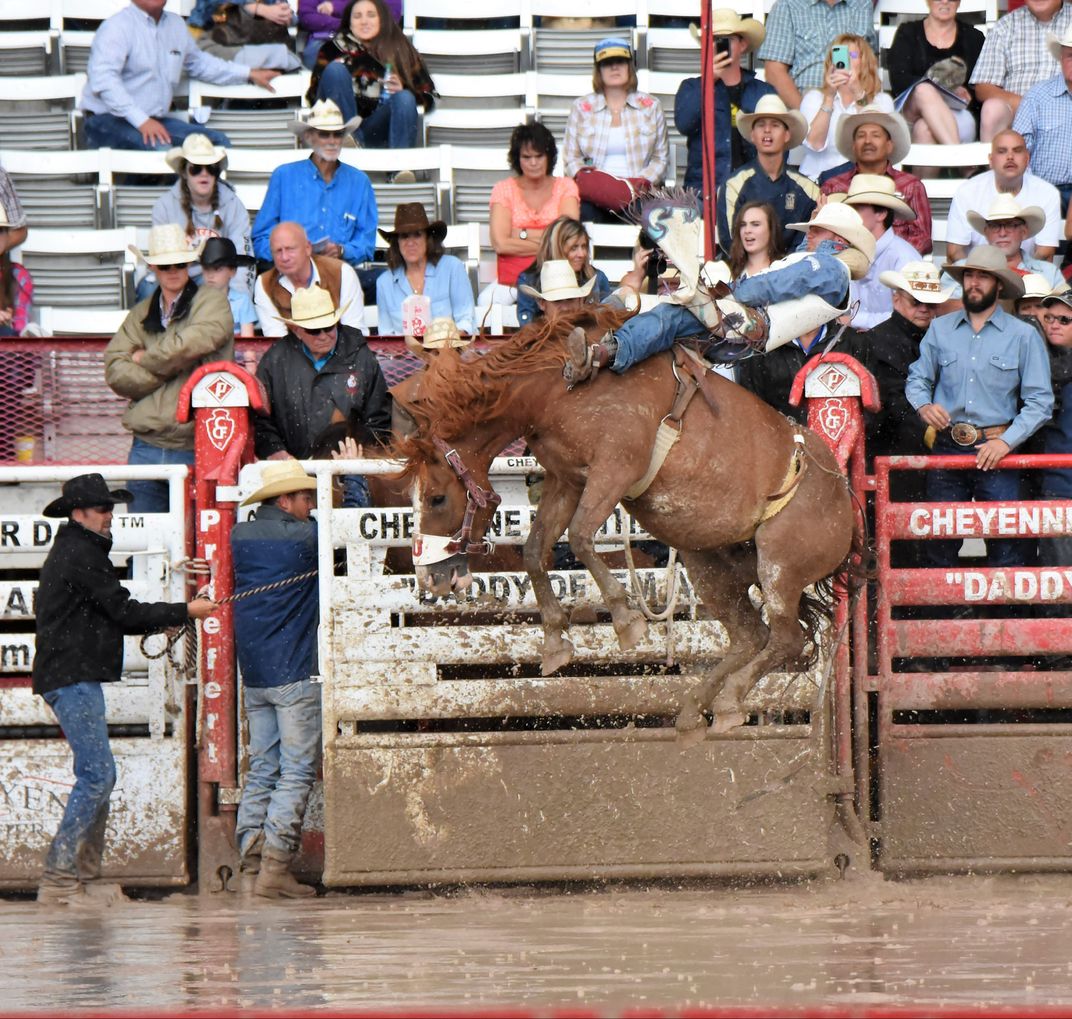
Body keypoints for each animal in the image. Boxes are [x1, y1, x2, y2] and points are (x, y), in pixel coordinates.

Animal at [394, 304, 861, 741]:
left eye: (437, 497)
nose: (431, 577)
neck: (553, 388)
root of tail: (845, 498)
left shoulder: (614, 469)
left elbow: (581, 538)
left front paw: (625, 619)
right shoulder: (566, 480)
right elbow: (534, 550)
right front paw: (555, 641)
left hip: (779, 566)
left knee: (786, 639)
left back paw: (728, 699)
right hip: (710, 565)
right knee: (751, 637)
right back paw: (697, 710)